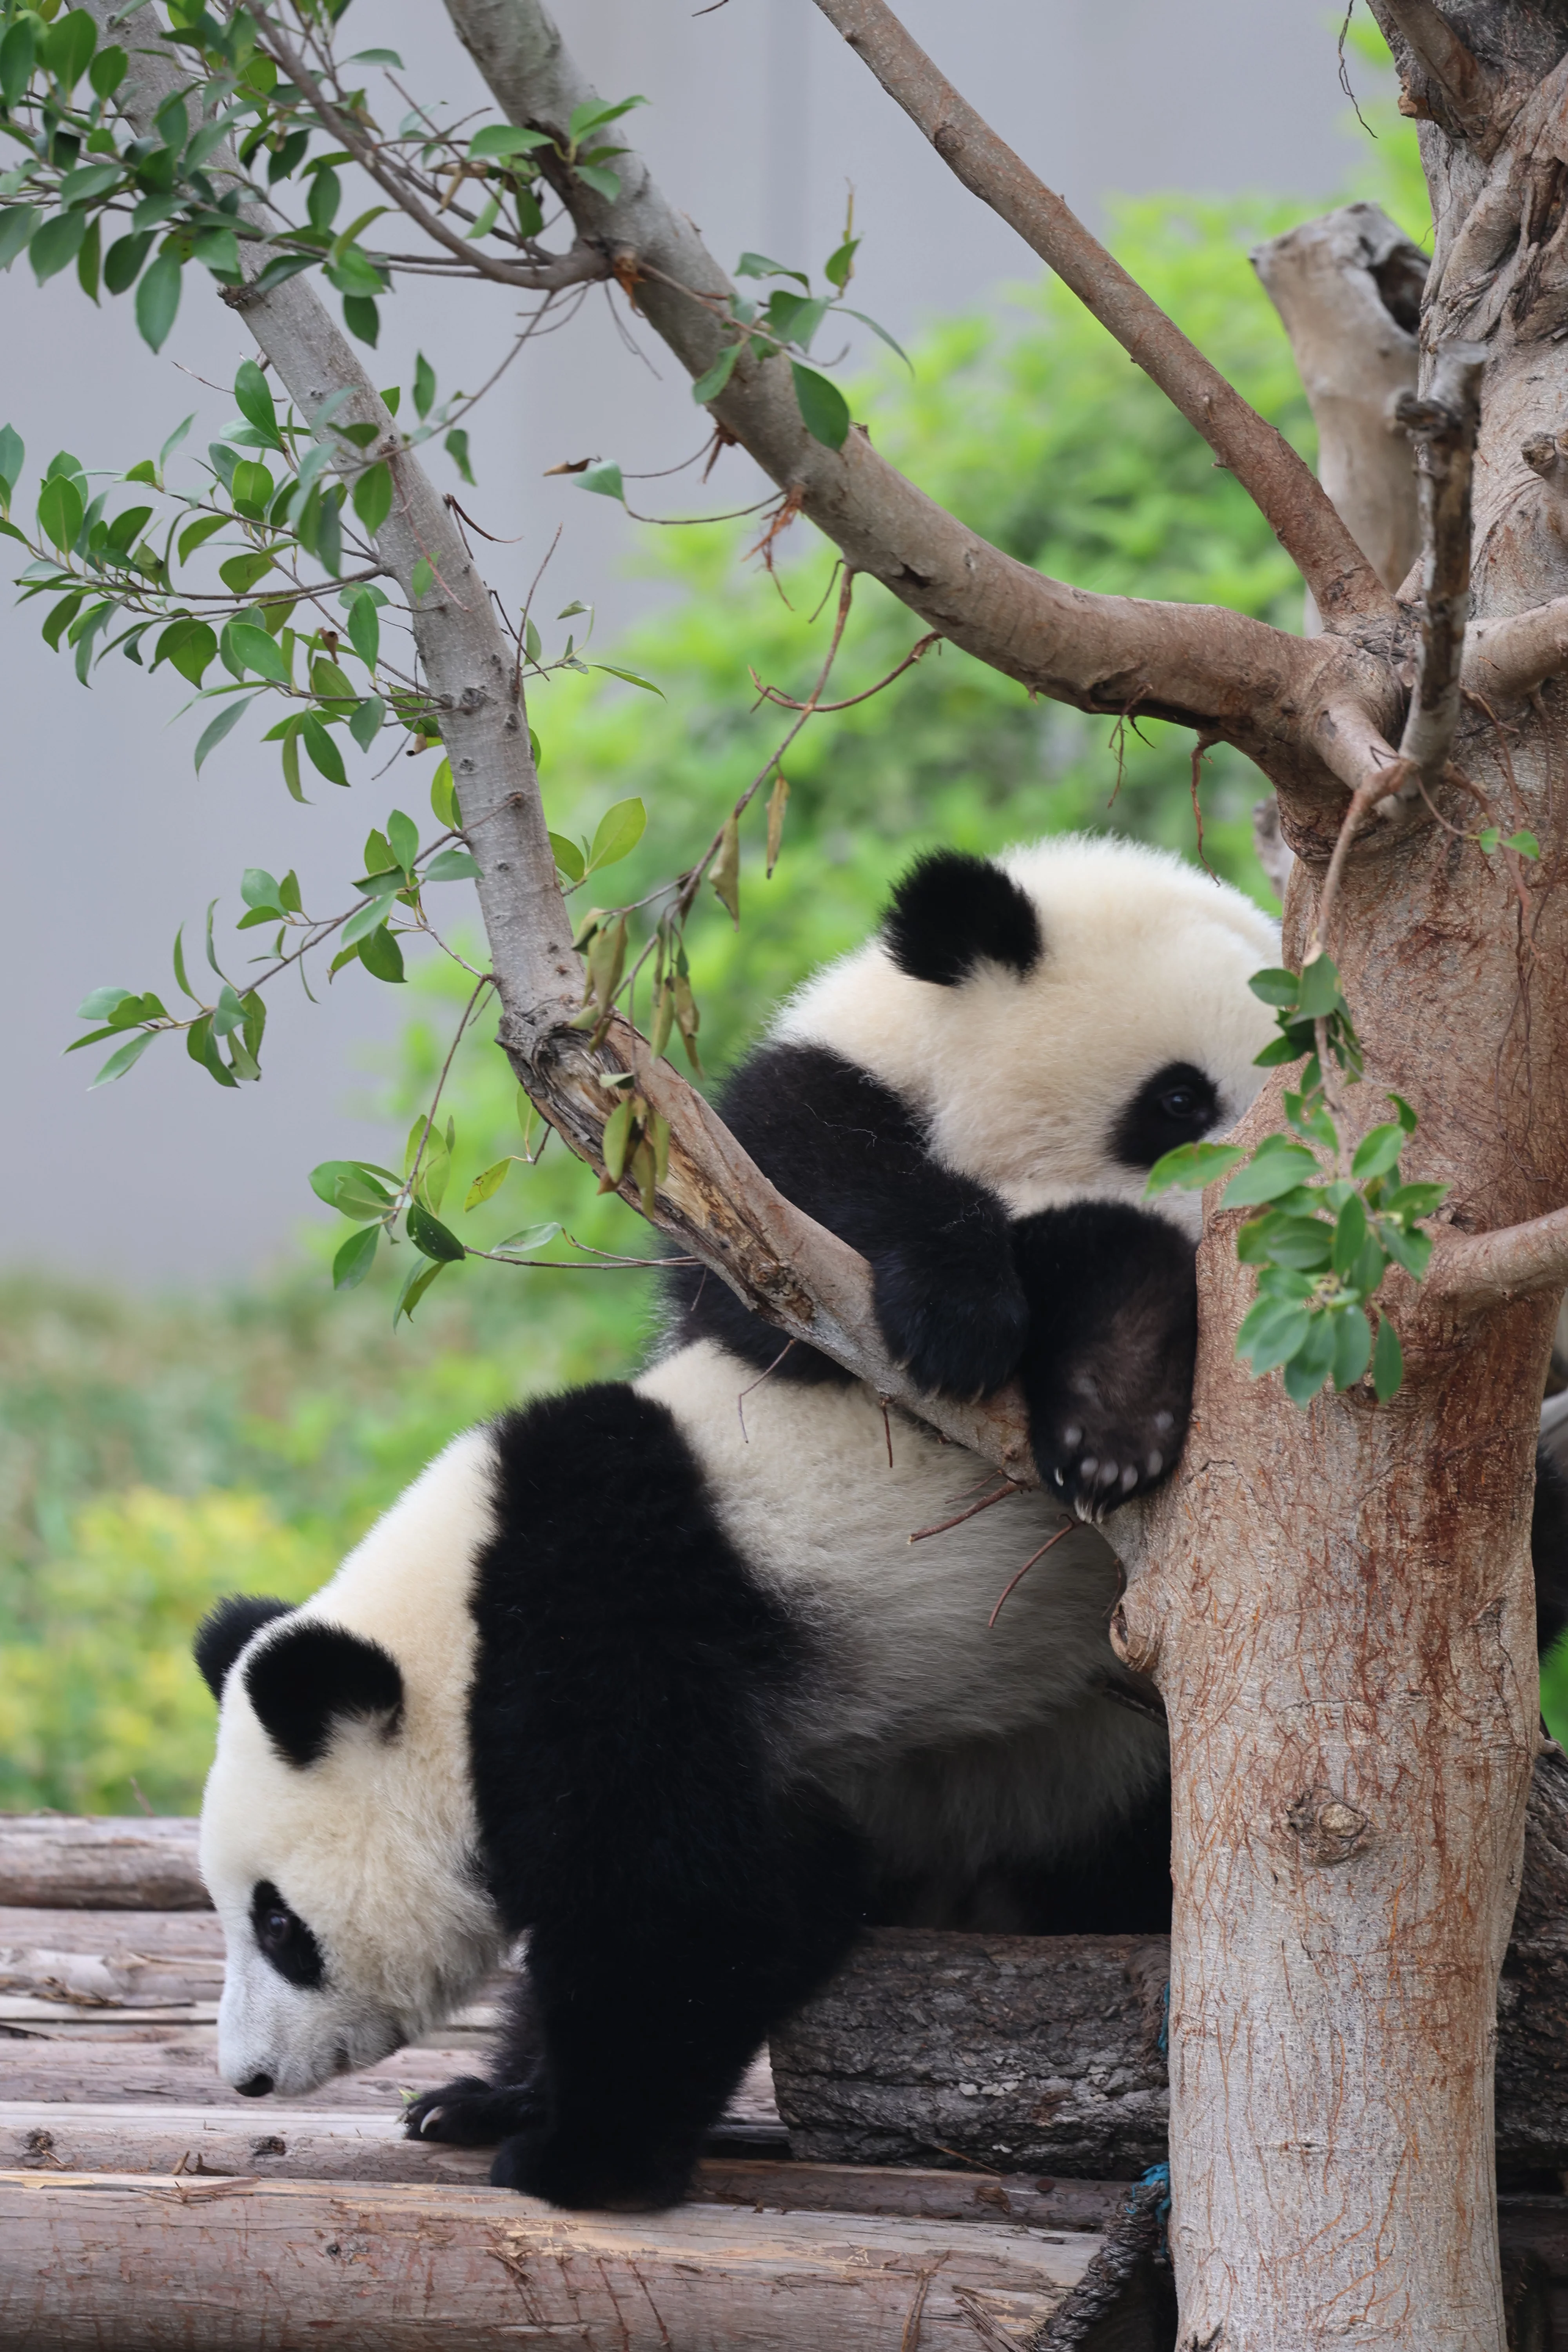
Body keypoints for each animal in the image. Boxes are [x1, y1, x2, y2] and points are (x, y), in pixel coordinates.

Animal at [193, 833, 1568, 2212]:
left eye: (276, 1921)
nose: (249, 2078)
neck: (462, 1617)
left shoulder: (606, 1623)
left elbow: (697, 1904)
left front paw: (579, 2156)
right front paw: (490, 2098)